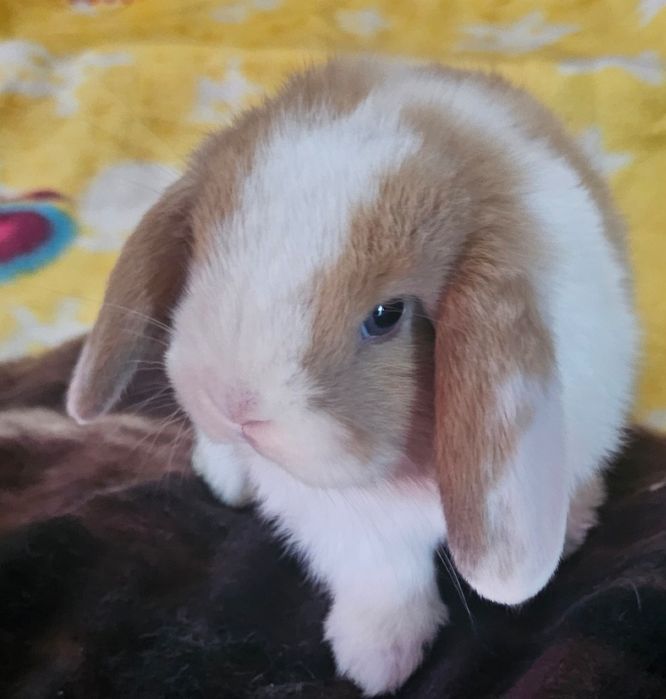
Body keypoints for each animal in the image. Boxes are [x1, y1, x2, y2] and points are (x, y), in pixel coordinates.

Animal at [66, 57, 638, 695]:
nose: (233, 404)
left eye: (387, 316)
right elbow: (385, 576)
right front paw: (377, 662)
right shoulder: (344, 524)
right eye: (200, 250)